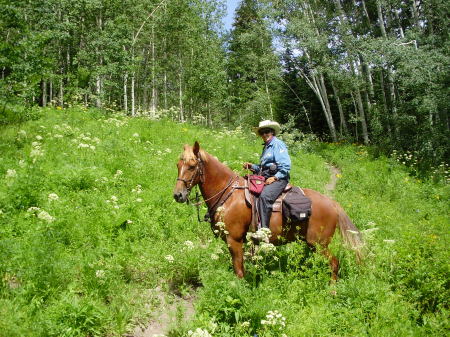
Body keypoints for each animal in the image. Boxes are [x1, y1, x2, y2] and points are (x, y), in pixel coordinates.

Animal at [171, 140, 364, 280]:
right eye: (178, 165)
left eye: (192, 166)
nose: (178, 195)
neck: (228, 194)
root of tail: (333, 204)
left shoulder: (234, 240)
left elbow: (239, 271)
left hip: (319, 244)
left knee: (334, 263)